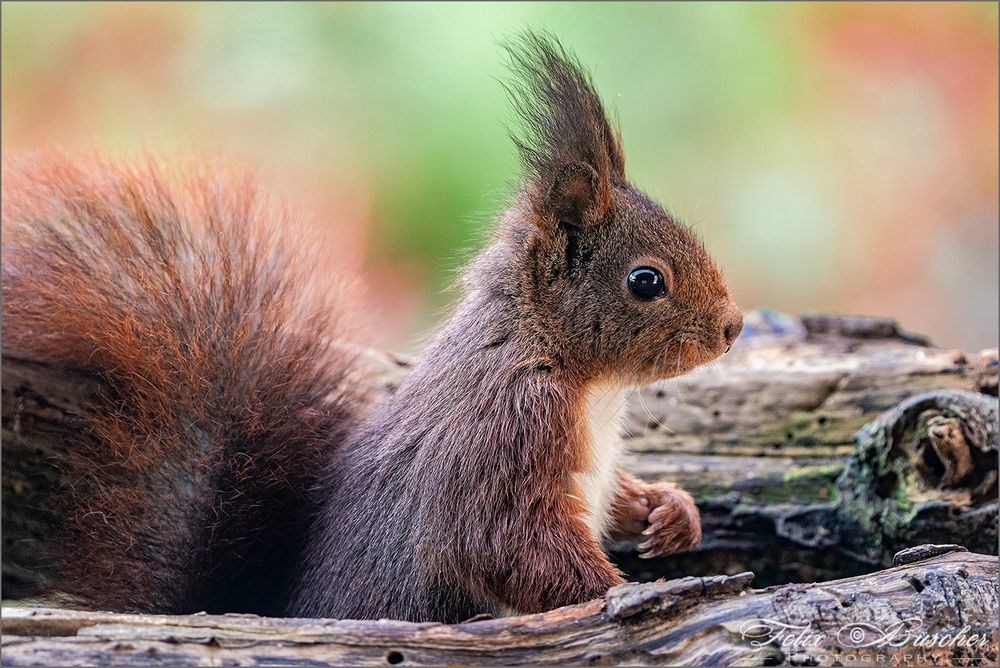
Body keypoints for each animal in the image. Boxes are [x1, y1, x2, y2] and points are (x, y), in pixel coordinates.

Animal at [1, 34, 744, 624]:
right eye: (646, 281)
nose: (733, 328)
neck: (586, 381)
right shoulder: (505, 432)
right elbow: (504, 544)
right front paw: (622, 591)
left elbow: (615, 495)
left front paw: (669, 513)